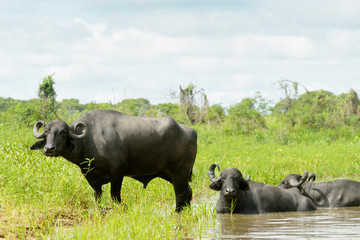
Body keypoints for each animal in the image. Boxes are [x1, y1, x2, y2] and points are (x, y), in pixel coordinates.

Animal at [29, 109, 197, 211]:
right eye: (46, 132)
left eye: (63, 133)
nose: (49, 149)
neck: (89, 139)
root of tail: (190, 131)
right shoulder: (93, 179)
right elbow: (98, 197)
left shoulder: (117, 172)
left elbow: (115, 196)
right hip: (170, 174)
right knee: (188, 191)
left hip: (179, 172)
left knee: (181, 192)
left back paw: (177, 212)